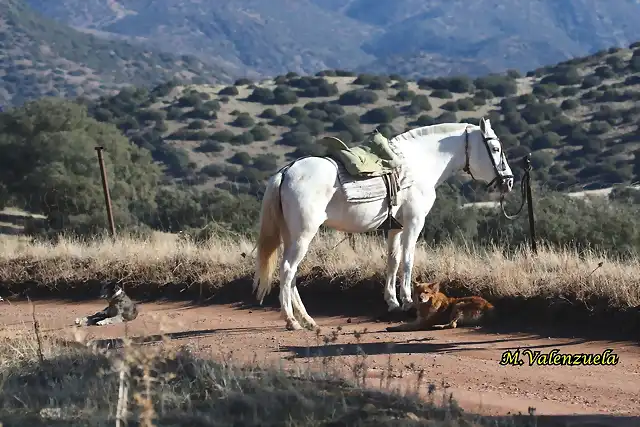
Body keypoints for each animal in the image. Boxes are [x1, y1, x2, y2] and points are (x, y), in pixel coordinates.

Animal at [251, 118, 516, 332]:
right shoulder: (414, 222)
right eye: (495, 148)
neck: (418, 163)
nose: (509, 181)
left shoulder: (395, 227)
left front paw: (393, 302)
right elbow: (407, 260)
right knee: (287, 270)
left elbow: (393, 260)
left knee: (291, 274)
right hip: (303, 235)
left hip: (292, 236)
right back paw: (291, 321)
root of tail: (286, 172)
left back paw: (307, 319)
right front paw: (408, 300)